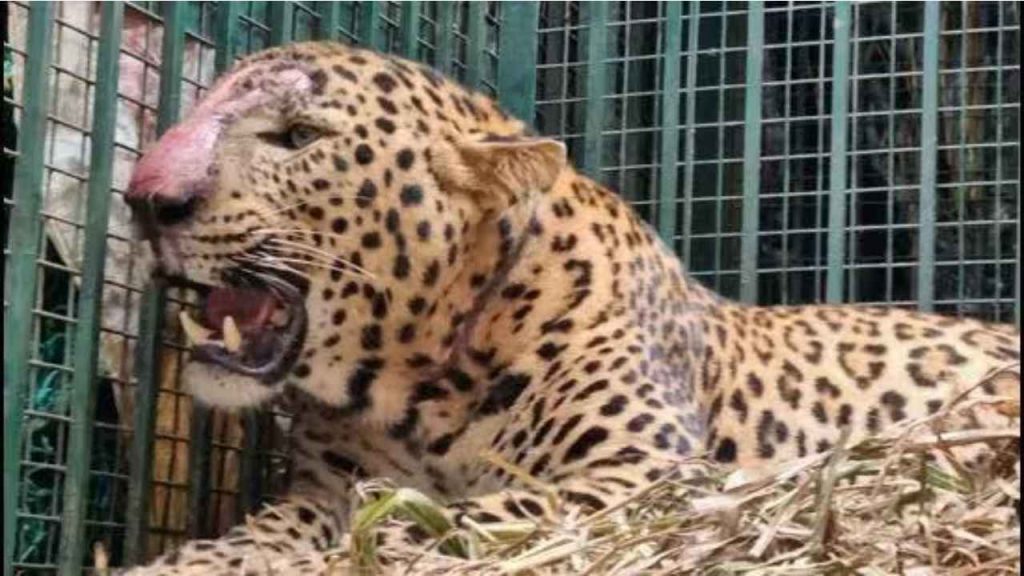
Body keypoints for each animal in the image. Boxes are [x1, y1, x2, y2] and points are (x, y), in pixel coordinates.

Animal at [119, 40, 1020, 574]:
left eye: (298, 137)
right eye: (198, 108)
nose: (145, 199)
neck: (414, 386)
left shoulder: (643, 474)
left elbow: (476, 514)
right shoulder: (321, 489)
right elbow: (270, 532)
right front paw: (188, 562)